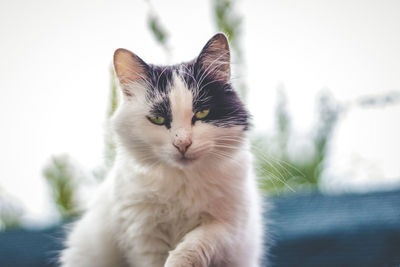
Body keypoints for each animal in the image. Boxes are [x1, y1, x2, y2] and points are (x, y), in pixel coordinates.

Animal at [60, 33, 262, 267]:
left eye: (202, 113)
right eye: (158, 119)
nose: (183, 143)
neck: (183, 181)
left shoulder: (228, 224)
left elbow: (196, 243)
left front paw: (178, 260)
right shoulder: (143, 235)